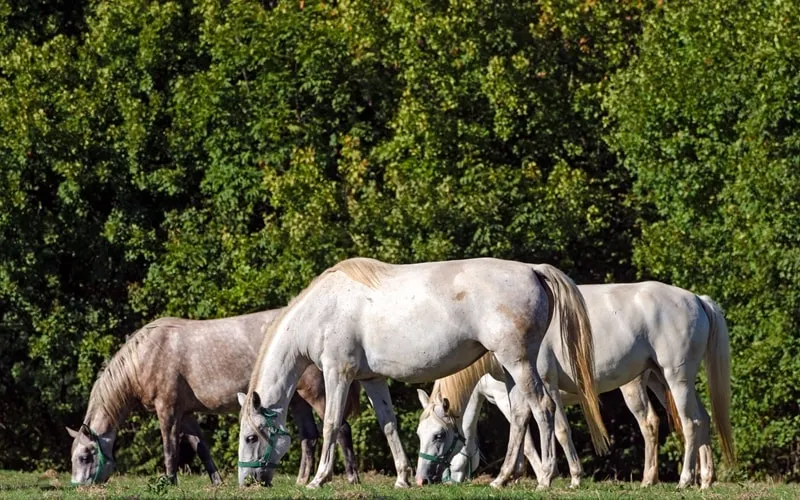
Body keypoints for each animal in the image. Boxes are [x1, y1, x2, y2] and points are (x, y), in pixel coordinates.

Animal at [66, 309, 361, 486]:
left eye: (85, 457)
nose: (78, 487)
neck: (146, 355)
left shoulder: (168, 410)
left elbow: (170, 448)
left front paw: (169, 481)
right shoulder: (186, 413)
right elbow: (201, 447)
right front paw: (216, 482)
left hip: (317, 395)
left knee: (341, 429)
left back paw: (351, 478)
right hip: (297, 400)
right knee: (308, 438)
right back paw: (301, 481)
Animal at [237, 257, 608, 489]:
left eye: (251, 437)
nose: (247, 482)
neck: (322, 310)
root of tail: (533, 270)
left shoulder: (337, 373)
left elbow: (331, 424)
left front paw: (319, 479)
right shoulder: (372, 379)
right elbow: (388, 425)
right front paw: (402, 477)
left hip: (518, 363)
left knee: (543, 409)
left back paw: (546, 477)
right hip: (509, 369)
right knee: (520, 416)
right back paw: (502, 479)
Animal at [416, 282, 735, 489]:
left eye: (439, 435)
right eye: (421, 434)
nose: (422, 479)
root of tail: (696, 299)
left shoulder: (538, 387)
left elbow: (551, 431)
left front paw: (558, 476)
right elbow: (528, 431)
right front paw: (515, 476)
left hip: (674, 380)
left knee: (688, 423)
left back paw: (683, 480)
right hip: (661, 379)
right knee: (702, 419)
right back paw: (701, 480)